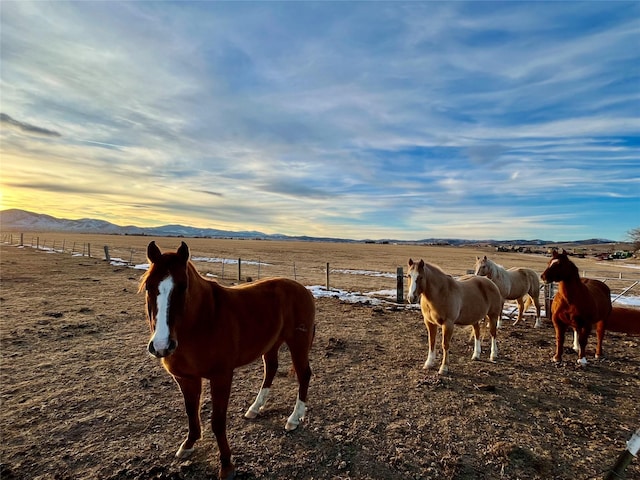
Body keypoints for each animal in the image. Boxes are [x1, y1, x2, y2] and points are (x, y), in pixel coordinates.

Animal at [139, 244, 316, 480]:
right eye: (148, 286)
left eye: (183, 286)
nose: (161, 345)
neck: (203, 320)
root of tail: (303, 289)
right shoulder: (185, 378)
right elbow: (191, 412)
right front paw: (188, 444)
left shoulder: (221, 377)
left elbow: (218, 421)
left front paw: (226, 465)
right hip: (272, 344)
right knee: (271, 370)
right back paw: (255, 408)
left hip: (298, 344)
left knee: (304, 375)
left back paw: (294, 418)